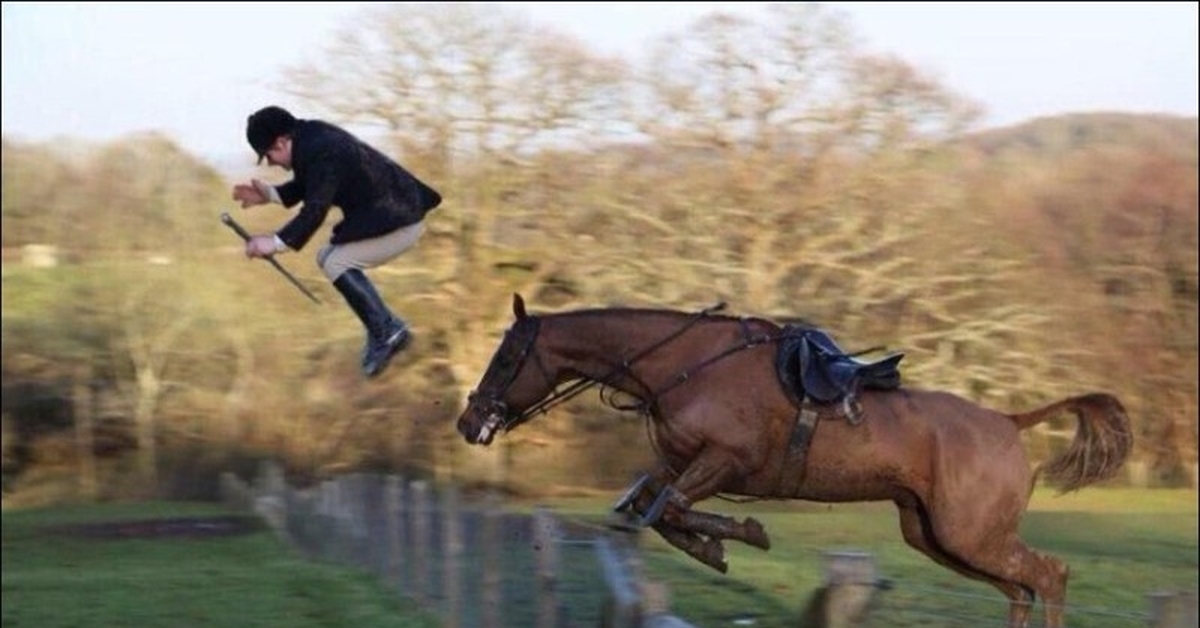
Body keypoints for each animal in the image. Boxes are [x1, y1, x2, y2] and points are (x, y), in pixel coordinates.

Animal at [453, 296, 1128, 628]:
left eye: (507, 356)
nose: (469, 422)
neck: (686, 365)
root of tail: (1010, 423)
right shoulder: (681, 465)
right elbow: (652, 506)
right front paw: (718, 543)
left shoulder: (726, 462)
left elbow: (671, 509)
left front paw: (738, 535)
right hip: (938, 536)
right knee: (1021, 590)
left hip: (970, 533)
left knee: (1049, 577)